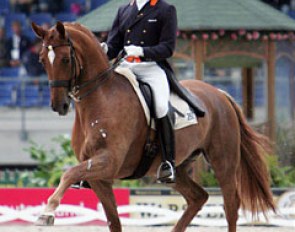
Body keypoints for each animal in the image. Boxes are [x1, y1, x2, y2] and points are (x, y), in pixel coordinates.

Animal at [31, 20, 276, 231]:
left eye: (65, 59)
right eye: (42, 60)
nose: (59, 105)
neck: (100, 98)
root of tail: (220, 93)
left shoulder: (109, 161)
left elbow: (68, 173)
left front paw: (47, 213)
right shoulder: (99, 178)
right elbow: (113, 221)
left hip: (223, 161)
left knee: (231, 205)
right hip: (178, 167)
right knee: (198, 197)